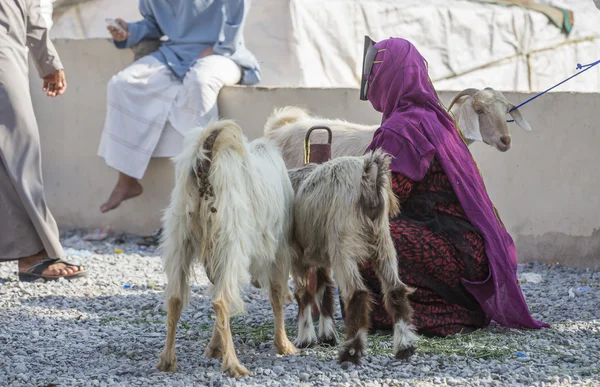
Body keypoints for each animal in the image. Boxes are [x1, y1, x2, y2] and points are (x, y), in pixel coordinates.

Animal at [155, 120, 296, 378]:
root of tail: (206, 159)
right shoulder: (280, 252)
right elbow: (277, 295)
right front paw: (283, 345)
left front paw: (214, 346)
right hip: (231, 241)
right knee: (222, 300)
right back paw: (233, 365)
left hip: (180, 238)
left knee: (177, 298)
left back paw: (168, 360)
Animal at [288, 150, 420, 366]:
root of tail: (369, 179)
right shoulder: (321, 254)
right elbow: (324, 289)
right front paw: (327, 336)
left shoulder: (297, 256)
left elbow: (304, 294)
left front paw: (305, 339)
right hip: (383, 243)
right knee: (395, 289)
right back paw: (404, 346)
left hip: (344, 243)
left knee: (357, 293)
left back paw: (351, 352)